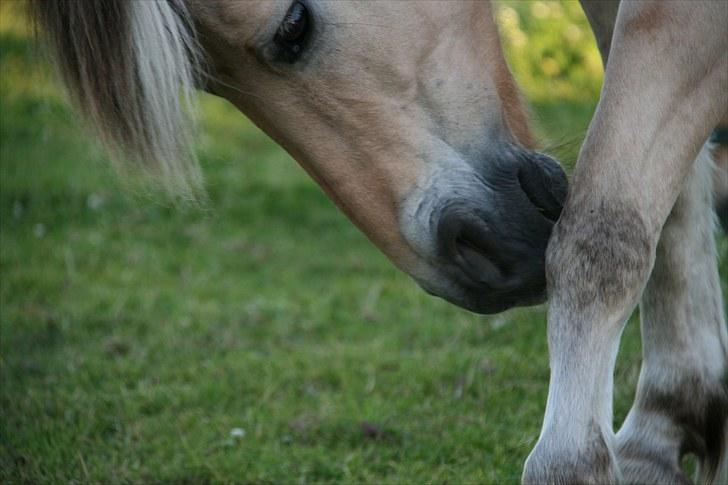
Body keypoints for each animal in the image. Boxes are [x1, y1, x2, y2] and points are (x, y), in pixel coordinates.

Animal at [29, 1, 728, 482]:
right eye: (204, 79)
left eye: (294, 27)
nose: (483, 261)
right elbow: (670, 205)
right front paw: (671, 425)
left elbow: (603, 233)